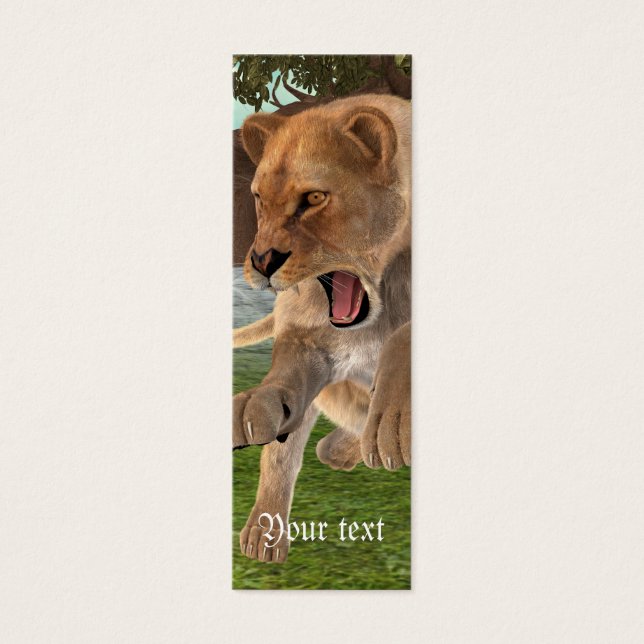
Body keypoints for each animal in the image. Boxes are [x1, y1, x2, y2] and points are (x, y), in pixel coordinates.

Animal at [233, 93, 411, 563]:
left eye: (314, 197)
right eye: (259, 198)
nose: (261, 262)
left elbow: (404, 339)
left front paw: (392, 427)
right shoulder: (307, 337)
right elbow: (280, 438)